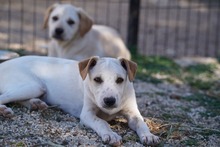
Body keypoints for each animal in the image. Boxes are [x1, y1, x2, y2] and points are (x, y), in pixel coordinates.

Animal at [0, 55, 159, 145]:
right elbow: (101, 122)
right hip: (35, 86)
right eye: (97, 79)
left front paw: (149, 135)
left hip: (35, 89)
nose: (109, 101)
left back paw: (35, 104)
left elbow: (141, 123)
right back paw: (4, 110)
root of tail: (3, 63)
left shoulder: (133, 113)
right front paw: (111, 134)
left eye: (120, 80)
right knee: (4, 97)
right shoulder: (87, 114)